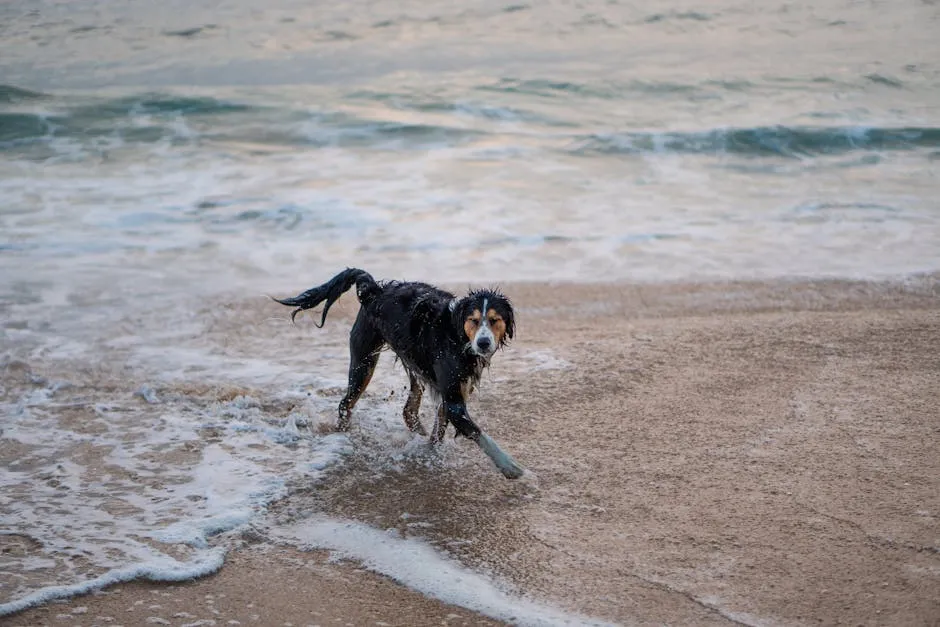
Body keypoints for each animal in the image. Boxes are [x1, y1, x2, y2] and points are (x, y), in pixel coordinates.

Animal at [272, 268, 524, 478]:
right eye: (473, 320)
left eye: (494, 320)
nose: (483, 343)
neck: (456, 334)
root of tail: (374, 288)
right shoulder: (453, 400)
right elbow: (479, 433)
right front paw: (511, 467)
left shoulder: (452, 390)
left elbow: (439, 430)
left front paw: (431, 452)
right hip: (364, 361)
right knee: (346, 403)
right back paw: (343, 434)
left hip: (413, 362)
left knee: (408, 409)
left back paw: (417, 434)